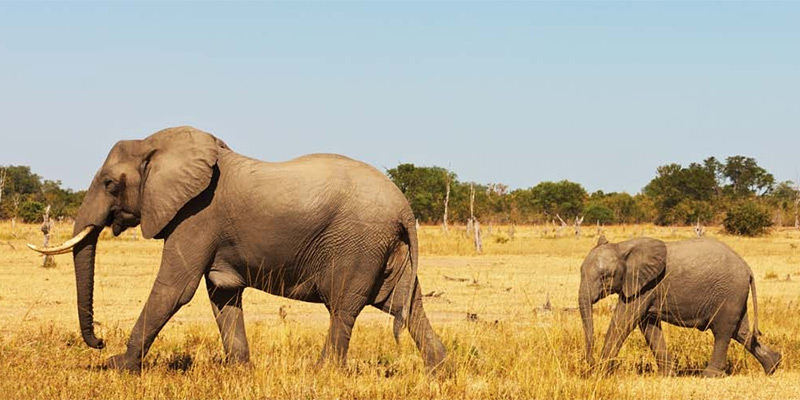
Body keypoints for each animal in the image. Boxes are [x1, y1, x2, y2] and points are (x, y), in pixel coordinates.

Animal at [28, 126, 446, 372]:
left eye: (110, 184)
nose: (99, 342)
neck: (159, 146)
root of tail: (404, 208)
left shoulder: (197, 215)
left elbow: (174, 290)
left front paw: (119, 366)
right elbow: (222, 294)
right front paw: (239, 370)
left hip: (358, 243)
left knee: (344, 307)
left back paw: (322, 371)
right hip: (385, 248)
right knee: (404, 305)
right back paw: (437, 370)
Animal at [578, 235, 781, 377]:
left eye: (606, 276)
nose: (589, 363)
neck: (621, 247)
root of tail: (747, 268)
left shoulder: (645, 285)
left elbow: (624, 319)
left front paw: (601, 373)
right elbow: (648, 325)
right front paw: (666, 375)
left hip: (729, 291)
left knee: (723, 331)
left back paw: (709, 375)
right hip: (734, 294)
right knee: (741, 331)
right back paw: (773, 366)